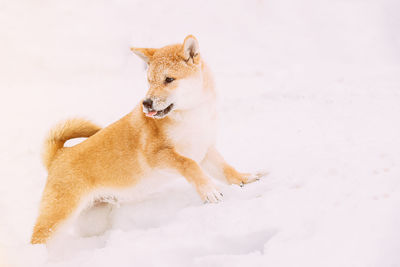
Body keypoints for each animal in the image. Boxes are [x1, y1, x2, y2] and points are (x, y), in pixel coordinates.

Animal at [31, 35, 266, 245]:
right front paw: (209, 191)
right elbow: (188, 165)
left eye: (168, 79)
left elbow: (226, 170)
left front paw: (245, 178)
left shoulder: (205, 150)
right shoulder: (159, 156)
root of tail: (58, 156)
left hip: (92, 220)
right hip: (58, 216)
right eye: (149, 81)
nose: (146, 103)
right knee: (38, 236)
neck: (190, 117)